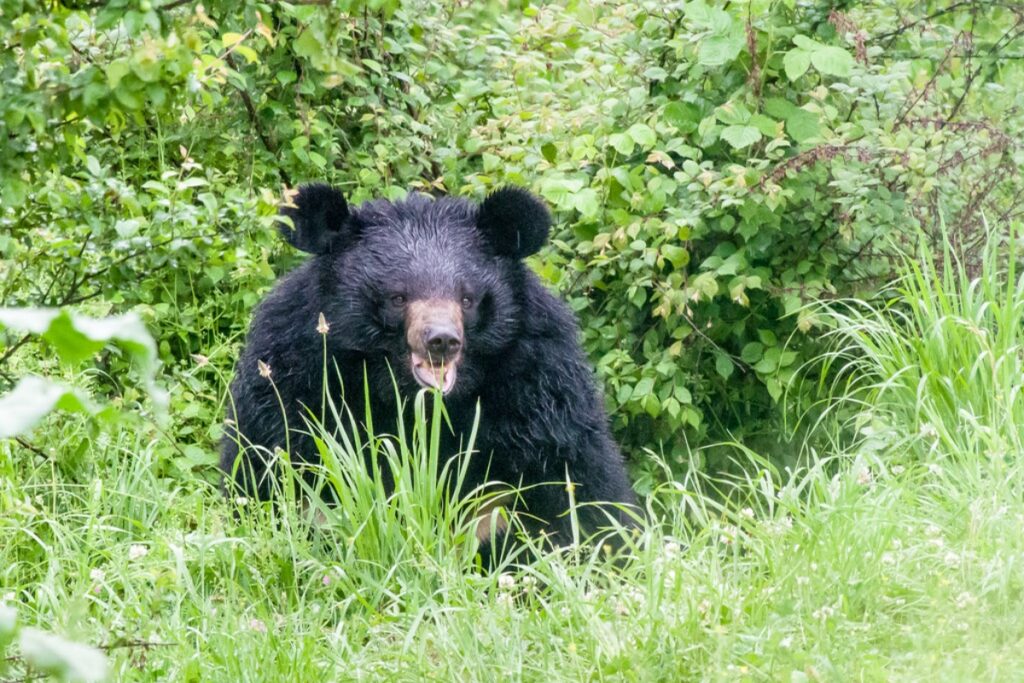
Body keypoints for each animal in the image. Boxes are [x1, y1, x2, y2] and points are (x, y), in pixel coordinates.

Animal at [220, 183, 637, 556]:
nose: (441, 340)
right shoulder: (296, 369)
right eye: (397, 296)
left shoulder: (538, 381)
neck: (412, 399)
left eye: (467, 298)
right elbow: (271, 460)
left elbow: (573, 483)